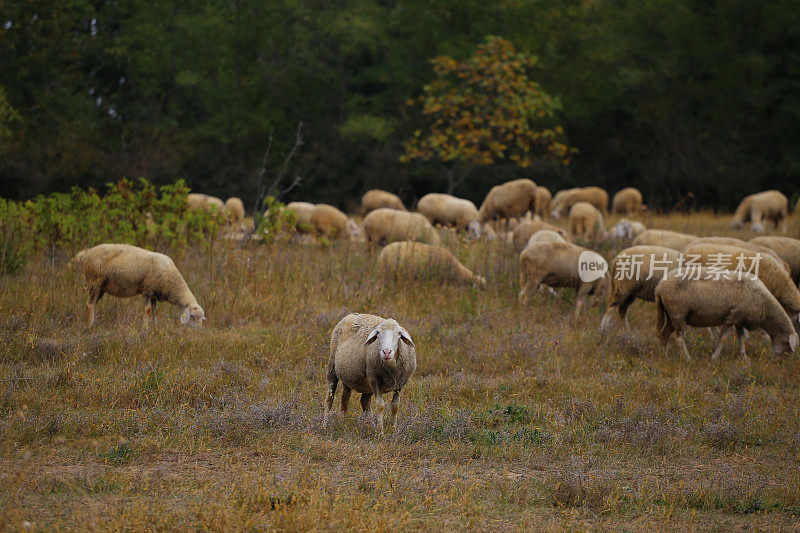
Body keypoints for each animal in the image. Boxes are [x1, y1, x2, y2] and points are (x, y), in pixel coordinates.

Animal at [70, 242, 205, 326]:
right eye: (192, 316)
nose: (197, 332)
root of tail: (87, 252)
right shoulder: (147, 290)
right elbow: (147, 310)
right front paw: (144, 330)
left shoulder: (154, 294)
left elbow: (155, 312)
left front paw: (155, 329)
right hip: (94, 281)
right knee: (89, 304)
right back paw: (90, 326)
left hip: (101, 287)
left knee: (92, 304)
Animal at [652, 268, 796, 360]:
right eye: (787, 345)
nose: (779, 362)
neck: (765, 305)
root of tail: (659, 287)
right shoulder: (733, 316)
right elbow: (723, 338)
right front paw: (714, 357)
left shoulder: (740, 319)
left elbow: (741, 338)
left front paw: (744, 358)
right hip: (678, 313)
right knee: (679, 337)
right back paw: (687, 358)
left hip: (671, 316)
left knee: (664, 335)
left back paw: (663, 356)